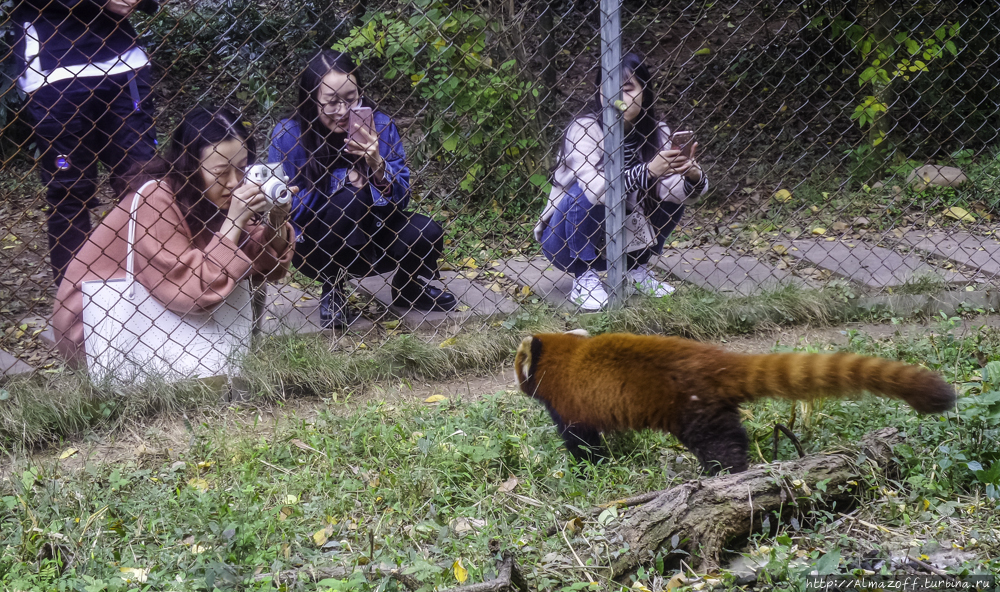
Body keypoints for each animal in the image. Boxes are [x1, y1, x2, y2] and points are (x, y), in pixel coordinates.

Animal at [512, 330, 956, 474]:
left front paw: (588, 467)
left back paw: (724, 473)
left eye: (517, 365)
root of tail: (714, 361)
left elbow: (582, 443)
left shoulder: (568, 403)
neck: (564, 355)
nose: (516, 380)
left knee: (721, 445)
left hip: (693, 409)